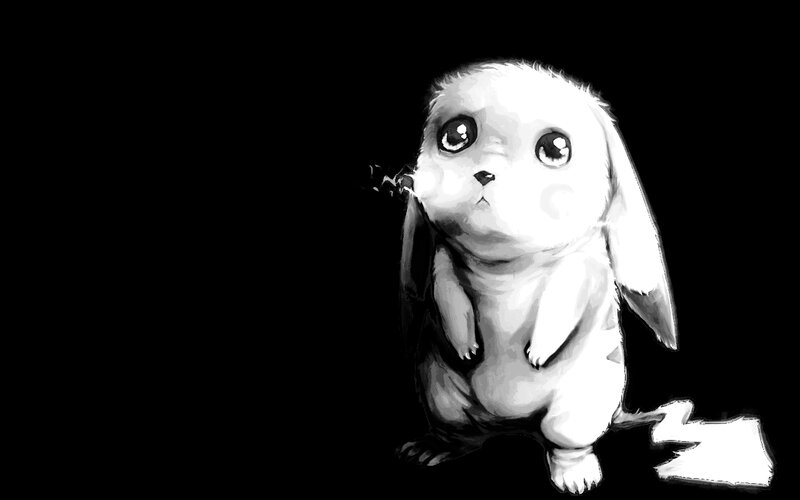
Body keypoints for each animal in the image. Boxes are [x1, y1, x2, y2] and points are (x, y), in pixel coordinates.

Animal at [397, 61, 677, 494]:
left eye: (555, 148)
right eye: (456, 135)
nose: (484, 174)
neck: (508, 262)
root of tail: (515, 423)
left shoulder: (585, 262)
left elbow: (569, 290)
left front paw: (541, 351)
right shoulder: (443, 255)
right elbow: (444, 285)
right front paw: (464, 346)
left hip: (581, 404)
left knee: (566, 441)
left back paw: (575, 474)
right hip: (439, 392)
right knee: (461, 431)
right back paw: (436, 447)